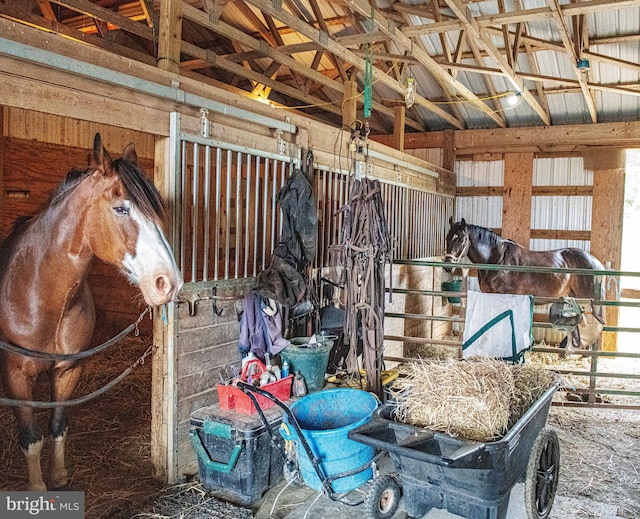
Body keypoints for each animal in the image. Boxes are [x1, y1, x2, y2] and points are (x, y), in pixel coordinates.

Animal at [0, 134, 182, 492]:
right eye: (120, 208)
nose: (168, 283)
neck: (38, 295)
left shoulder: (69, 370)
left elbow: (58, 424)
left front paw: (59, 477)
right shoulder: (16, 376)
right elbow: (31, 438)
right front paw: (37, 488)